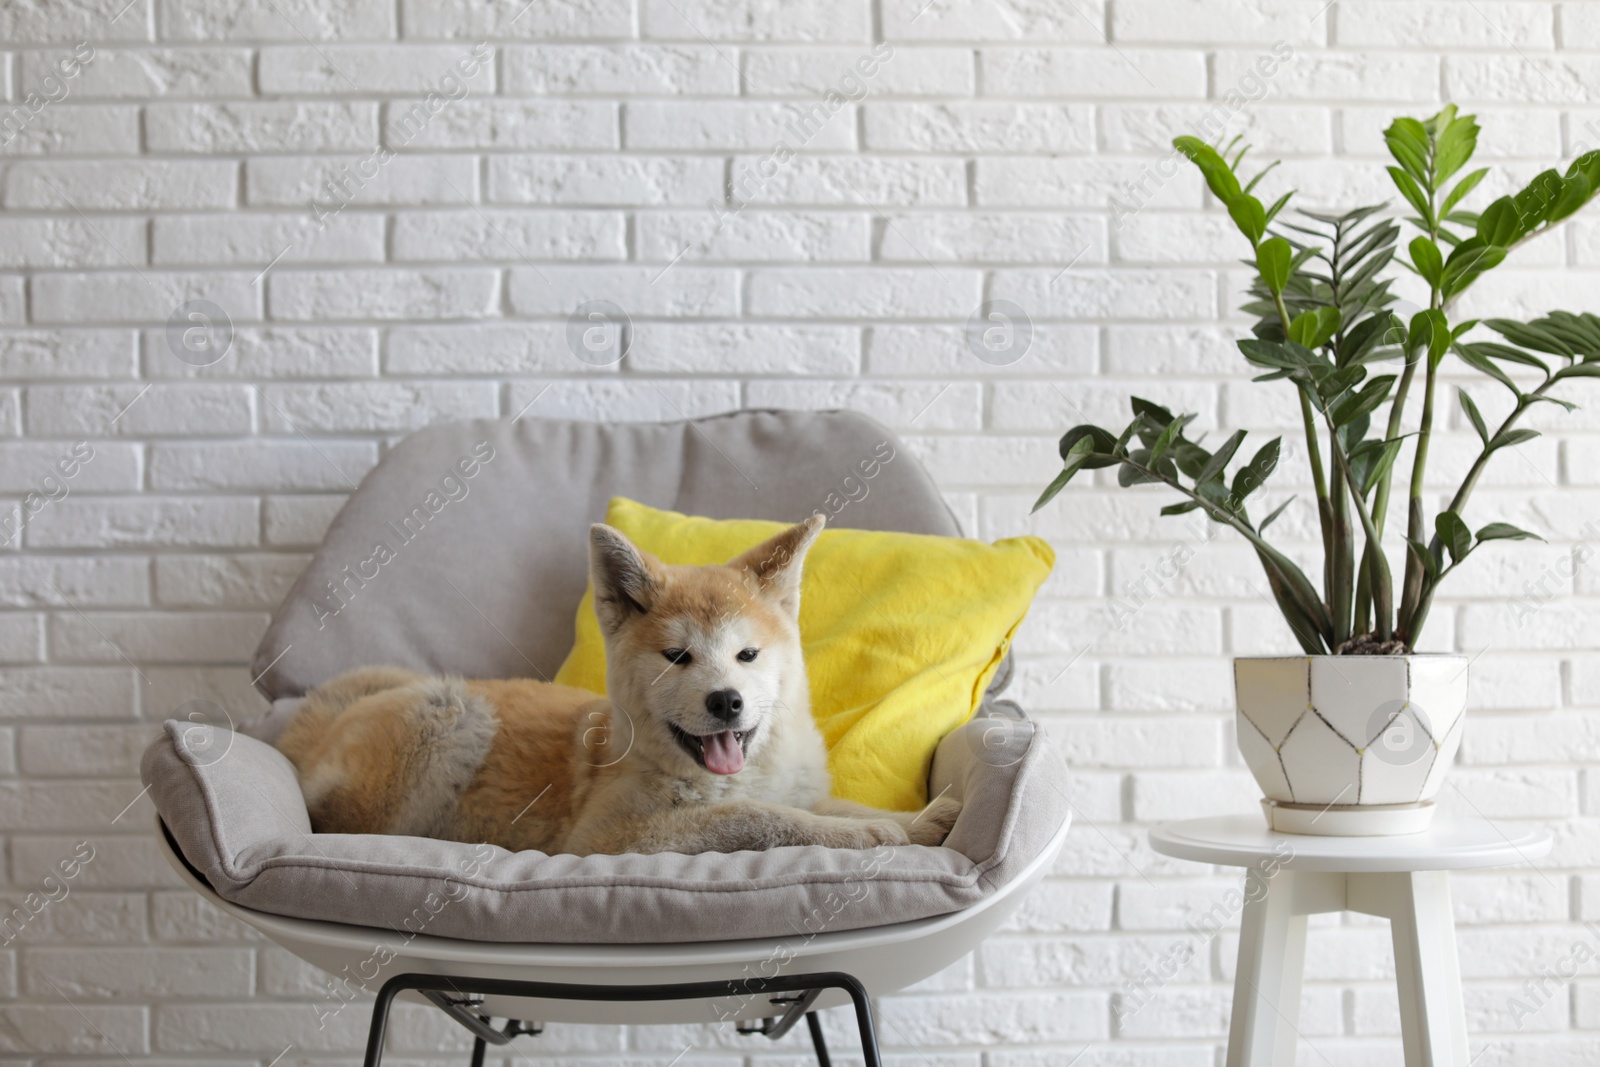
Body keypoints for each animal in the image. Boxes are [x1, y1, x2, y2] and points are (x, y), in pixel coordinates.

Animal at [275, 511, 960, 857]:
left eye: (747, 654)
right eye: (677, 656)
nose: (726, 700)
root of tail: (311, 732)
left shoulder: (799, 789)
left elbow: (828, 806)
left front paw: (918, 819)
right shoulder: (609, 837)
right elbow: (757, 819)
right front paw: (864, 836)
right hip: (452, 710)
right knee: (347, 827)